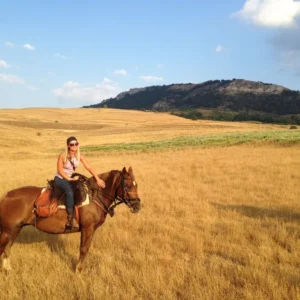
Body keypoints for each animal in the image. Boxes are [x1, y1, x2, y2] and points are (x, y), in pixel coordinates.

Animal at [0, 168, 141, 274]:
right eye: (128, 186)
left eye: (136, 185)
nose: (137, 206)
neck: (94, 196)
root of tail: (6, 195)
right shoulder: (87, 229)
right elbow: (83, 249)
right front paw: (78, 271)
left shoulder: (90, 230)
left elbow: (86, 249)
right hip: (7, 231)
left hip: (15, 229)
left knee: (7, 248)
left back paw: (8, 269)